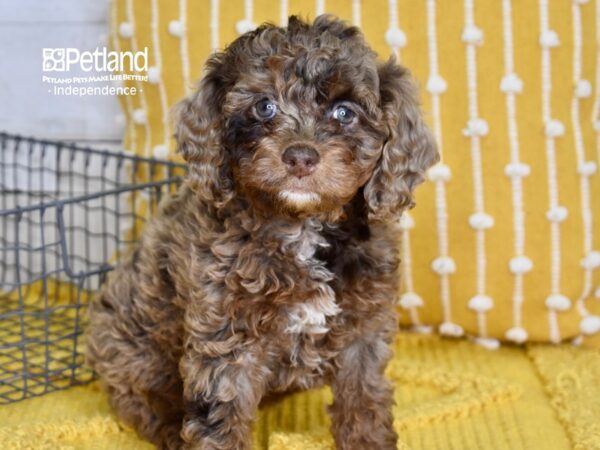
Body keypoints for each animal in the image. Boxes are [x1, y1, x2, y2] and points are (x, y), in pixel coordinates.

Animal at [85, 14, 436, 450]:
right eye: (264, 106)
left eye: (344, 113)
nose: (300, 156)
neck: (300, 225)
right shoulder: (227, 333)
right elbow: (221, 413)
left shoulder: (364, 329)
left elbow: (363, 398)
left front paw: (368, 439)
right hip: (129, 345)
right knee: (136, 396)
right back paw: (167, 425)